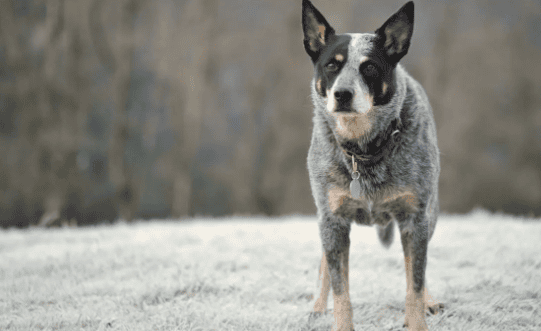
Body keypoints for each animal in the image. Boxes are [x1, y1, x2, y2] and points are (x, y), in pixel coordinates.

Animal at [302, 1, 440, 330]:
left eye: (370, 67)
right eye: (331, 65)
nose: (342, 94)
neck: (362, 150)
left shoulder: (415, 217)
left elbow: (415, 284)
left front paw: (418, 317)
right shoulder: (333, 219)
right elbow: (340, 290)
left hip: (431, 214)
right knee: (325, 265)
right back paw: (317, 306)